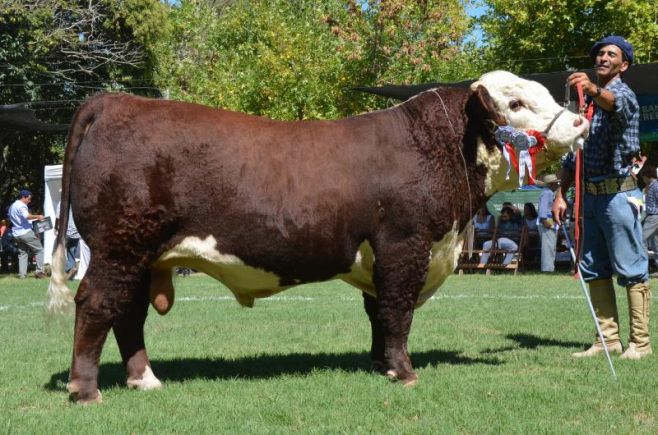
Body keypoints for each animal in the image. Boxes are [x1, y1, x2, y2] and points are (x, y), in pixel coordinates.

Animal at [48, 70, 588, 404]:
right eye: (515, 103)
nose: (581, 120)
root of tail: (115, 101)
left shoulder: (382, 257)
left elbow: (378, 314)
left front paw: (380, 365)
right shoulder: (405, 246)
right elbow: (398, 312)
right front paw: (405, 372)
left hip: (141, 256)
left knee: (128, 315)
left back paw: (144, 380)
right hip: (119, 248)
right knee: (96, 305)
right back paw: (86, 390)